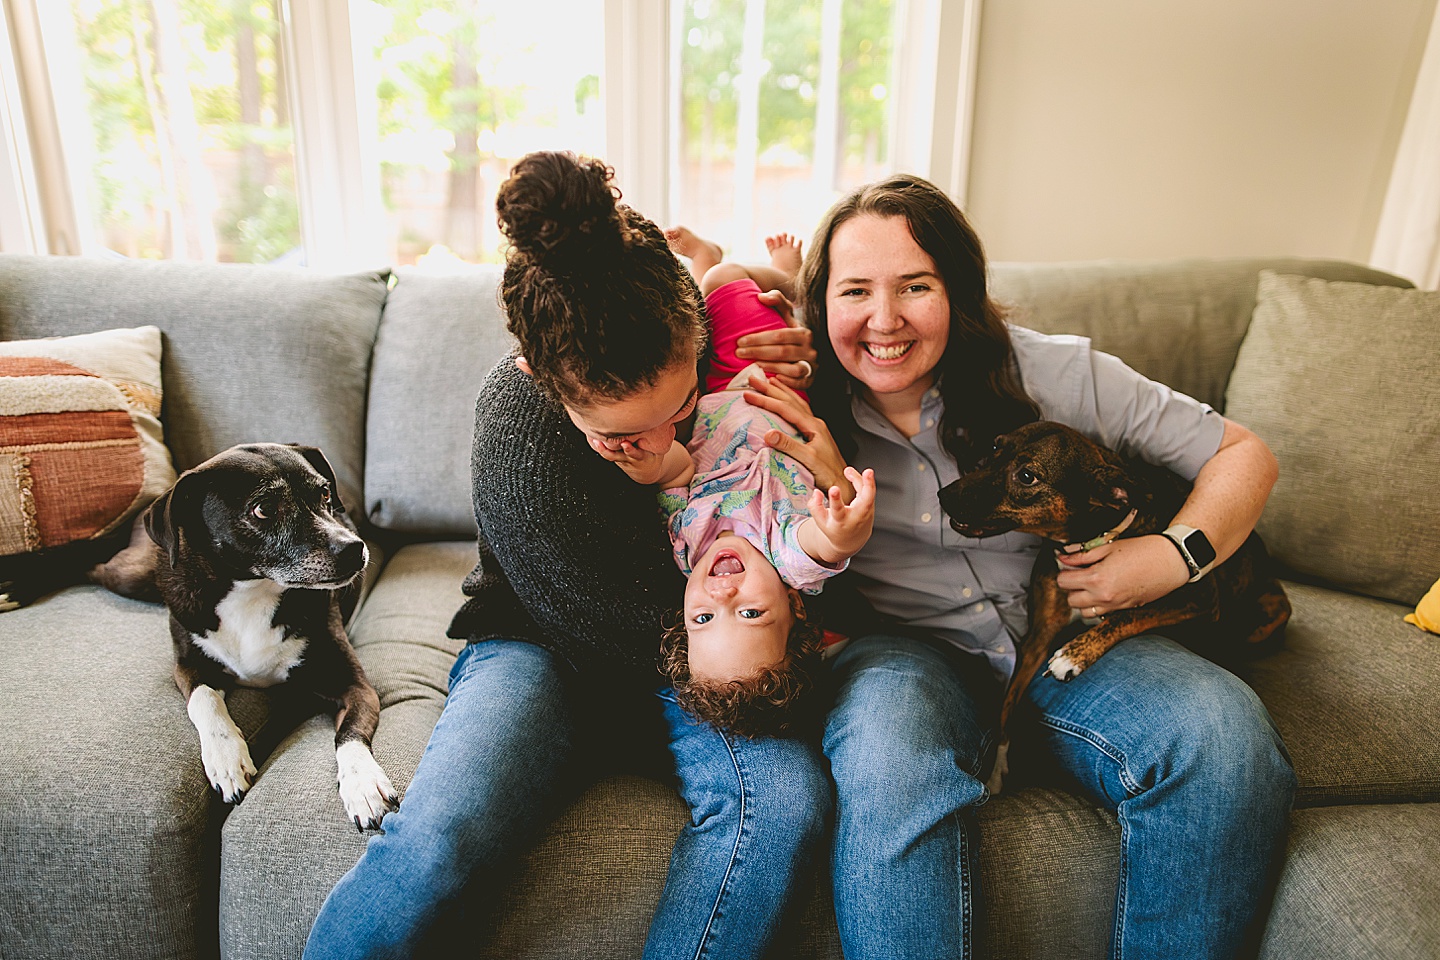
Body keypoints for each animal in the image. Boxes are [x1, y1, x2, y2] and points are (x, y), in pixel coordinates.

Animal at [136, 446, 394, 829]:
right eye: (264, 509)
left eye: (324, 494)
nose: (354, 548)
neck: (253, 591)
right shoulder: (188, 665)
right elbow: (203, 699)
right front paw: (227, 757)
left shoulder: (355, 686)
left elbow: (349, 734)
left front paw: (362, 782)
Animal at [938, 420, 1290, 788]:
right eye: (995, 447)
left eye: (1027, 476)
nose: (943, 495)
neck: (1091, 537)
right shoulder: (1038, 635)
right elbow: (1007, 704)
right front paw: (996, 771)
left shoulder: (1199, 597)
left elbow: (1129, 615)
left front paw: (1073, 655)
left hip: (1271, 611)